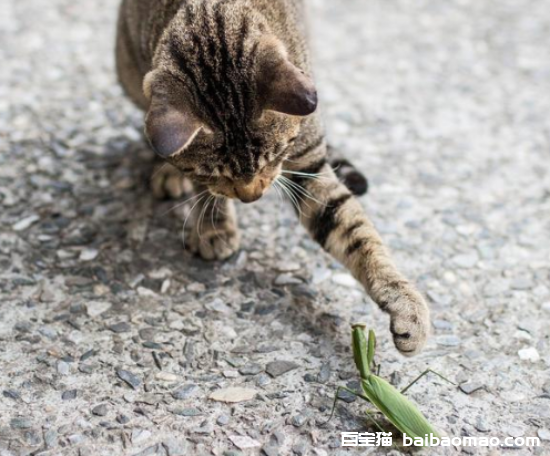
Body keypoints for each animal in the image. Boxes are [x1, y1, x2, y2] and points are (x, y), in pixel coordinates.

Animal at [114, 0, 430, 356]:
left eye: (274, 156)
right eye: (213, 171)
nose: (251, 197)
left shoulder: (310, 168)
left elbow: (359, 236)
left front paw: (406, 305)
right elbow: (205, 188)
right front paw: (212, 226)